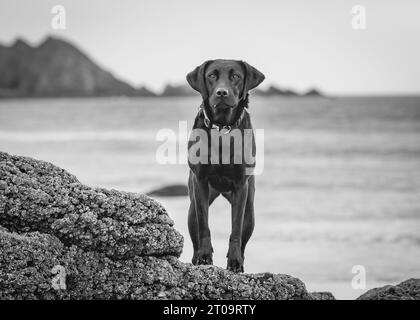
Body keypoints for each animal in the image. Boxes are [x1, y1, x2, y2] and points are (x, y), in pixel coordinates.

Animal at [185, 59, 264, 272]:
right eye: (212, 75)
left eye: (236, 76)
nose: (222, 92)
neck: (222, 128)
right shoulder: (200, 182)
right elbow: (204, 225)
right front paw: (205, 256)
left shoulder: (241, 186)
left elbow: (235, 229)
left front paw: (234, 262)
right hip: (192, 208)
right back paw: (196, 258)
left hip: (250, 212)